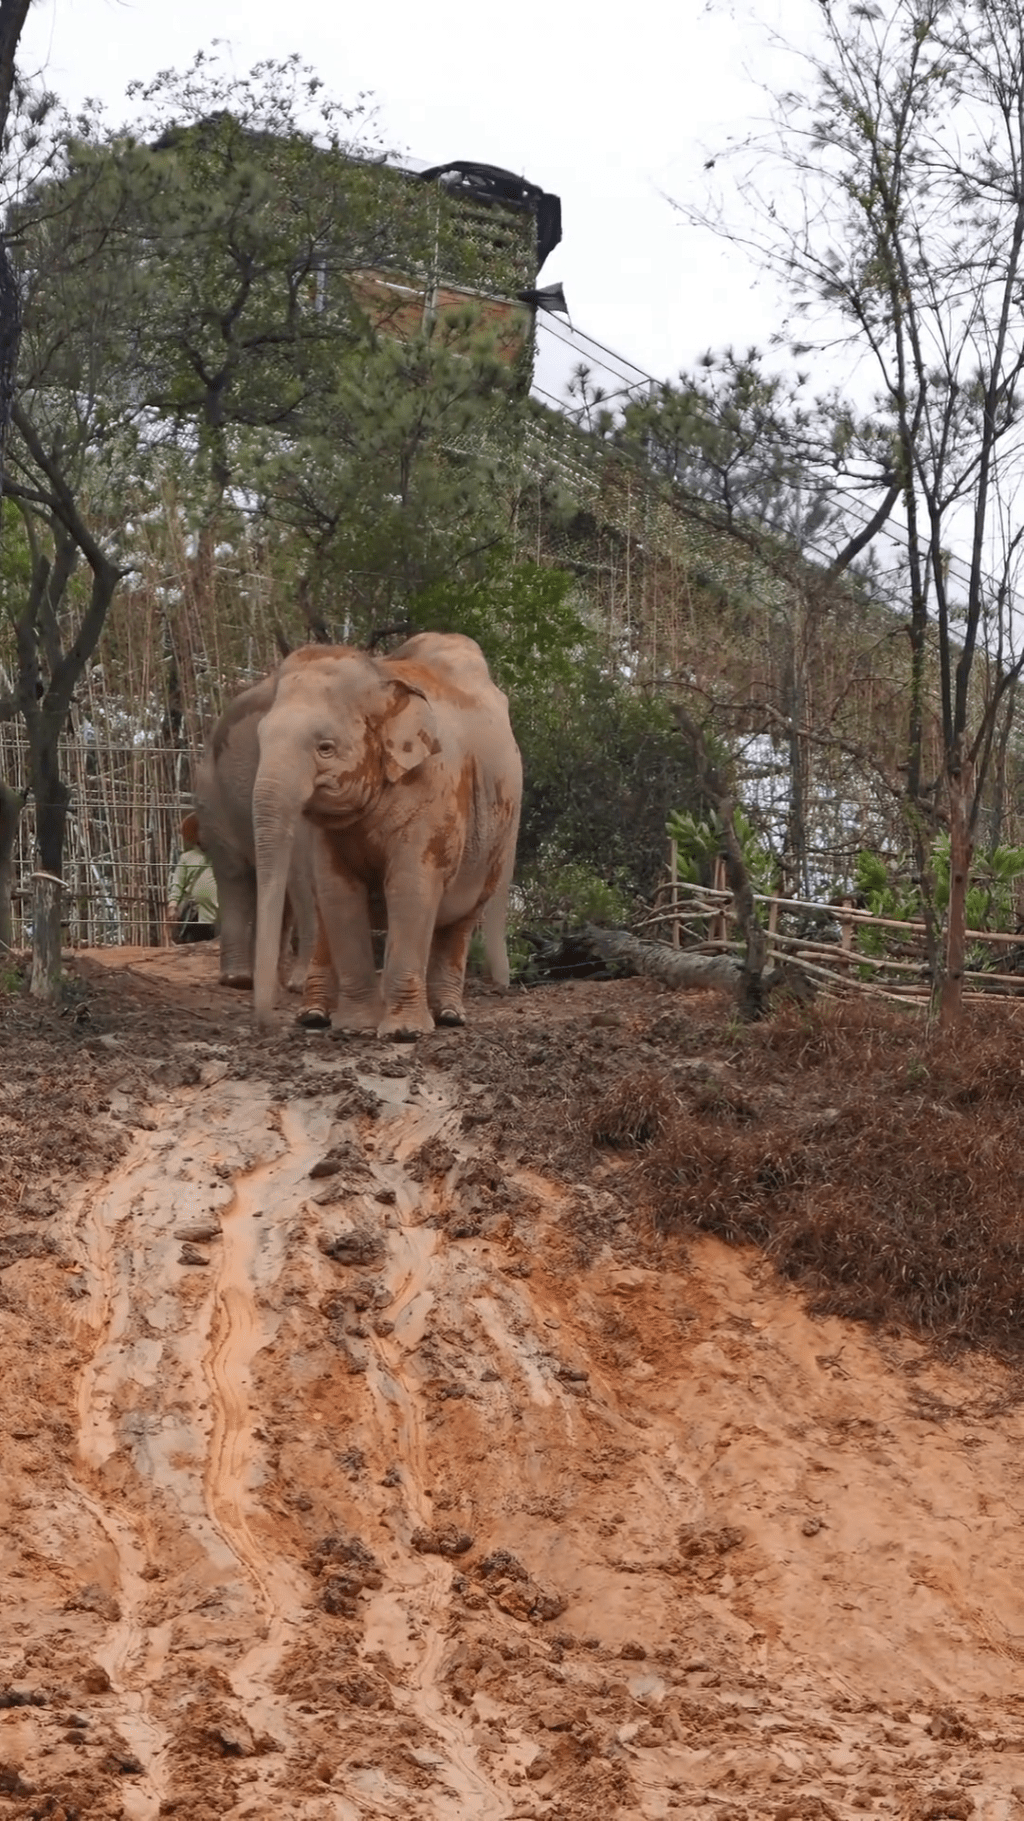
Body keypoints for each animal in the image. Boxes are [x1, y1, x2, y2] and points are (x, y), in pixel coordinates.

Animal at [251, 633, 521, 1041]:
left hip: (498, 838)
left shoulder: (431, 786)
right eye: (261, 739)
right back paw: (313, 1017)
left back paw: (449, 1016)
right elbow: (338, 890)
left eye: (325, 748)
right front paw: (355, 1028)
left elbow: (411, 888)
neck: (380, 676)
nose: (267, 1026)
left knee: (461, 918)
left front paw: (403, 1032)